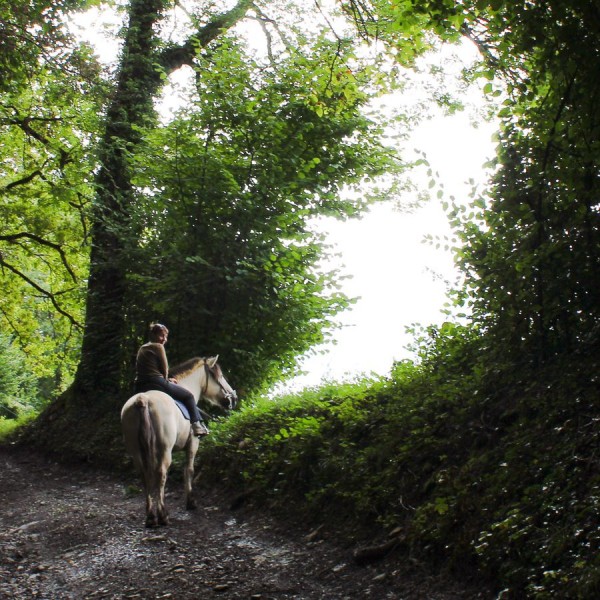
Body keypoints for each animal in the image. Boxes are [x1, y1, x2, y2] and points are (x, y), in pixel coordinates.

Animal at [120, 354, 237, 528]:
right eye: (220, 376)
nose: (233, 398)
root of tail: (143, 400)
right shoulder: (193, 444)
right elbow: (189, 470)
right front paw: (191, 501)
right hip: (164, 450)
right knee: (161, 474)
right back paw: (162, 515)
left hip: (137, 451)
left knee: (145, 476)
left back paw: (150, 516)